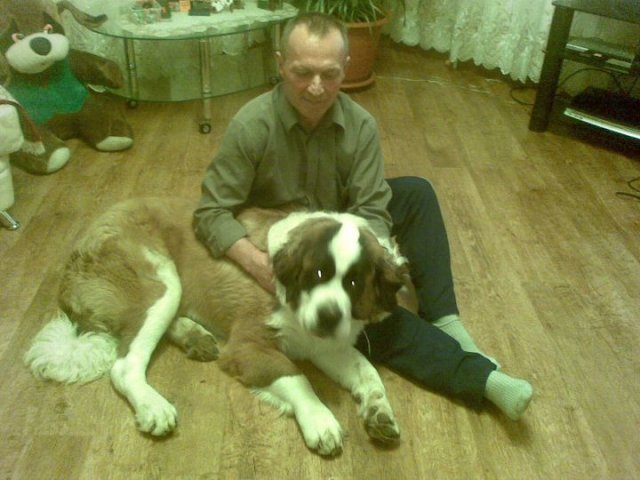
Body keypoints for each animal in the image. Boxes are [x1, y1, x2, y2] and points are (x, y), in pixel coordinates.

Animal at [24, 197, 408, 456]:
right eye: (317, 273)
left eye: (354, 283)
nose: (328, 316)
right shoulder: (247, 346)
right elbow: (296, 376)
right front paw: (319, 418)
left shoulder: (326, 345)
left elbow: (368, 372)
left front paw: (379, 411)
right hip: (162, 281)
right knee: (124, 365)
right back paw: (153, 406)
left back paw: (194, 337)